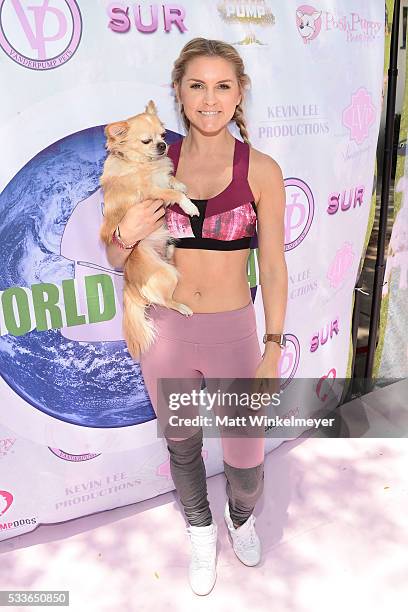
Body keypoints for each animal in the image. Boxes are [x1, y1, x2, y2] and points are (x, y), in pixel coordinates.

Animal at [100, 100, 199, 358]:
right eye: (146, 141)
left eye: (163, 135)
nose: (162, 145)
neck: (142, 164)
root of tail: (130, 284)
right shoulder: (151, 193)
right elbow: (172, 194)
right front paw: (189, 205)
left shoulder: (161, 180)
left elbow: (171, 181)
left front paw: (180, 184)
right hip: (166, 275)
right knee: (165, 301)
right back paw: (182, 307)